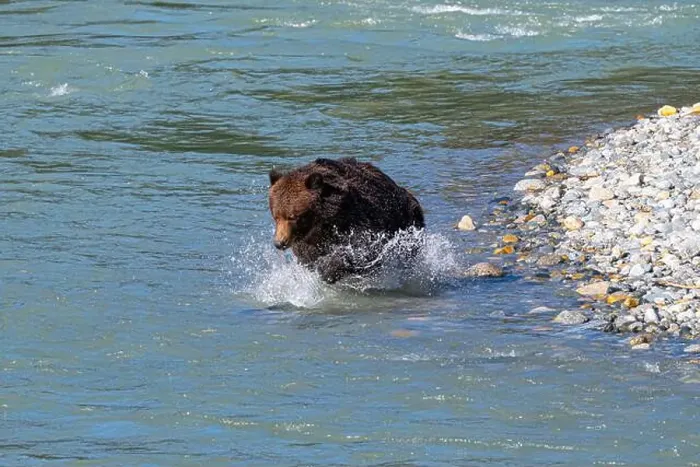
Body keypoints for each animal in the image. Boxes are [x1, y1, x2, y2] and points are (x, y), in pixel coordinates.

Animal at [268, 157, 425, 283]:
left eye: (293, 216)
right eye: (276, 216)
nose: (279, 243)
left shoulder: (357, 220)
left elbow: (360, 250)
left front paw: (329, 269)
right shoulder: (307, 241)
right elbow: (309, 257)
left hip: (408, 221)